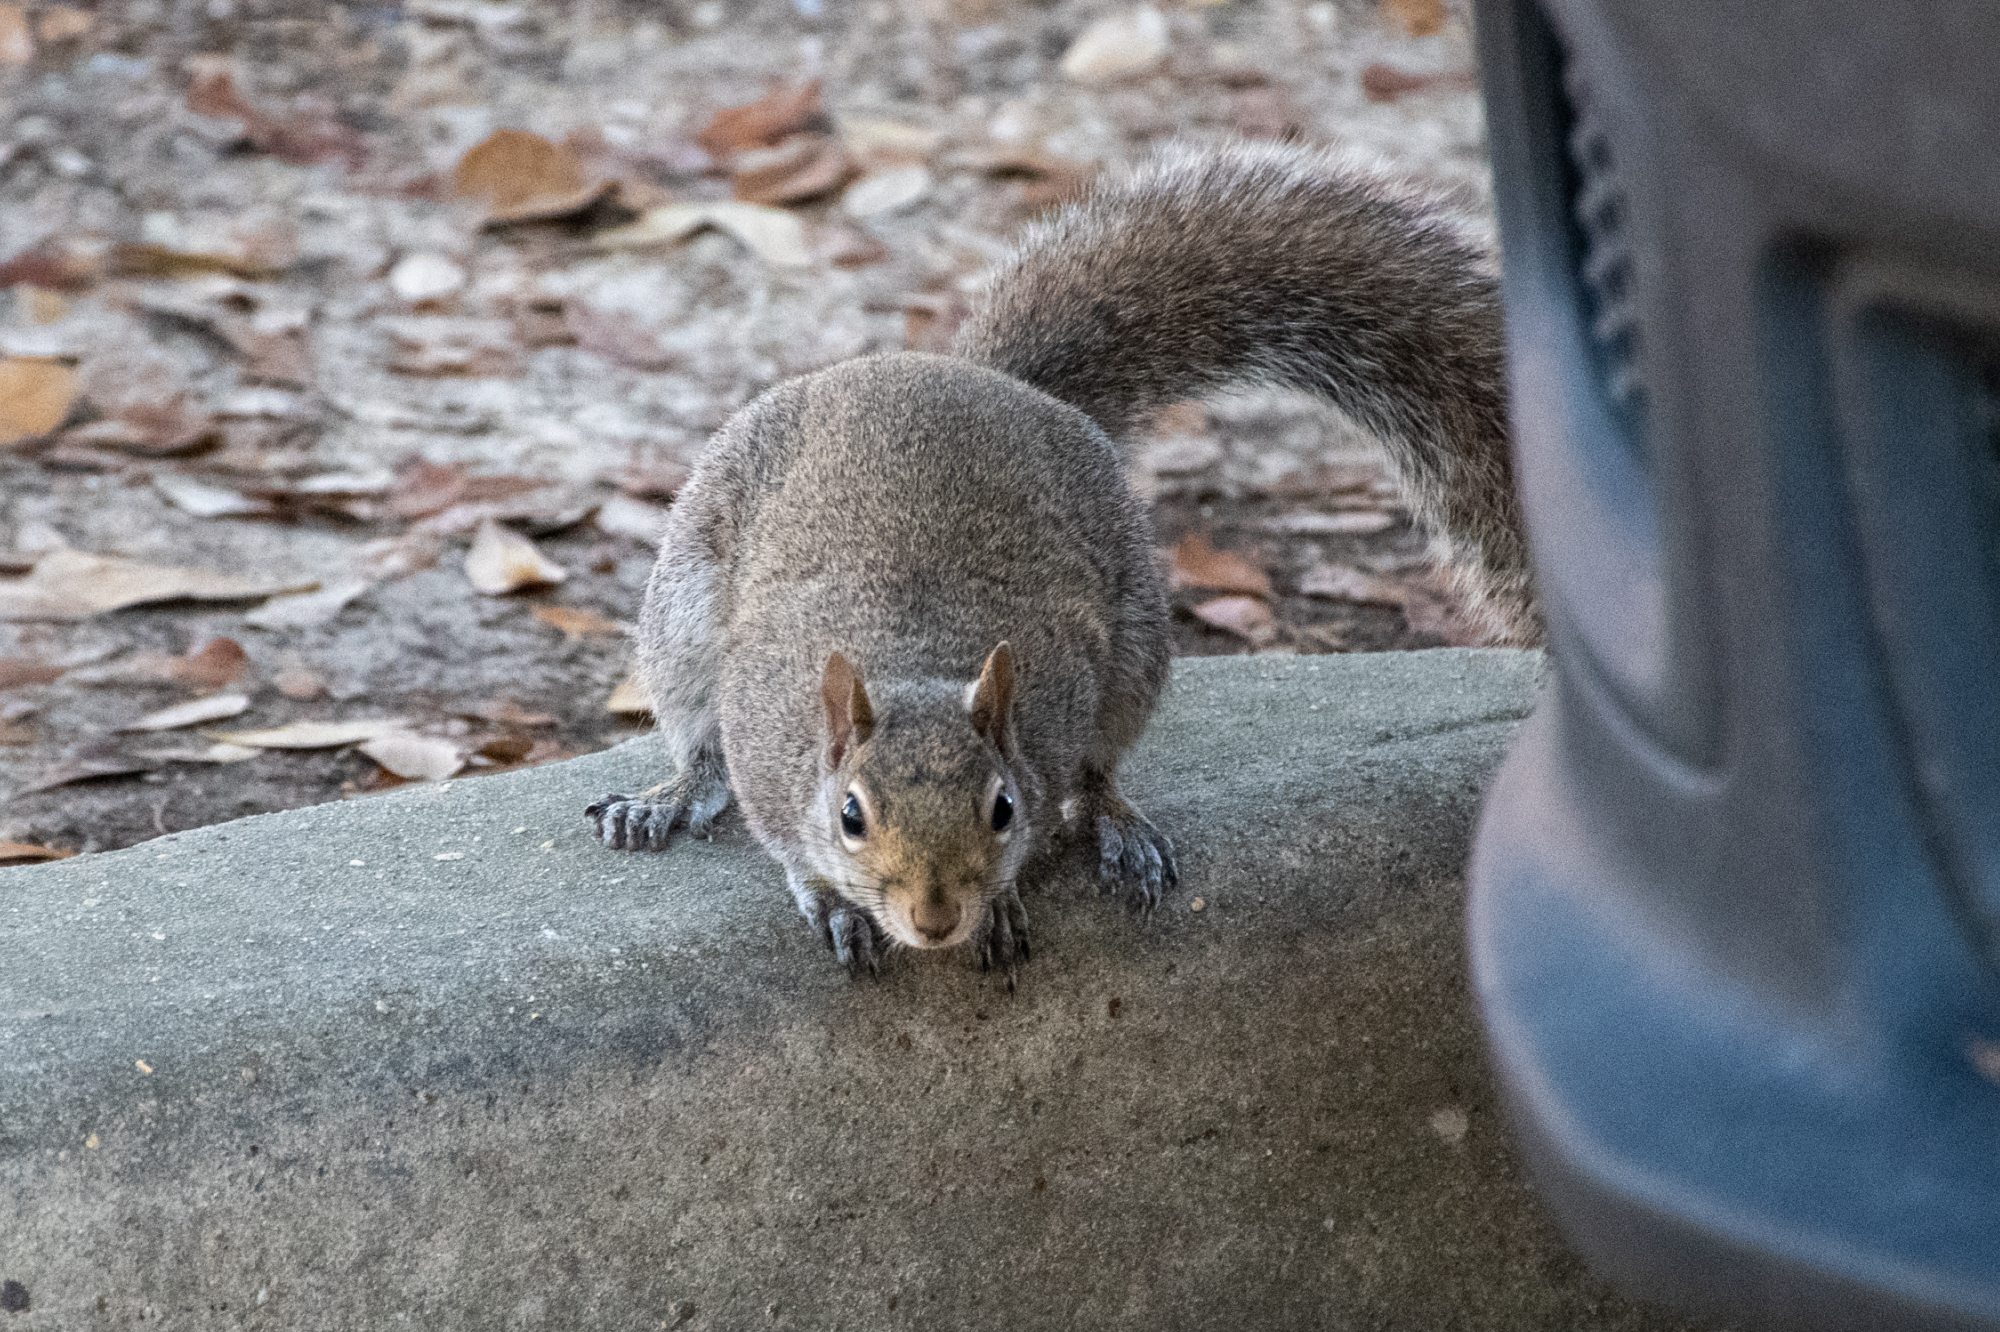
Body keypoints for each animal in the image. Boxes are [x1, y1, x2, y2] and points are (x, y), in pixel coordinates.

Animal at [584, 140, 1520, 980]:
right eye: (851, 816)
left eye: (1002, 809)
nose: (935, 918)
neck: (913, 659)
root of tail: (983, 377)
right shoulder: (768, 745)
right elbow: (782, 840)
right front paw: (830, 902)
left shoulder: (1060, 701)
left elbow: (1065, 783)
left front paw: (1000, 902)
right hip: (683, 611)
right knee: (699, 750)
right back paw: (663, 801)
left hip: (1134, 644)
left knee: (1101, 767)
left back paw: (1119, 827)